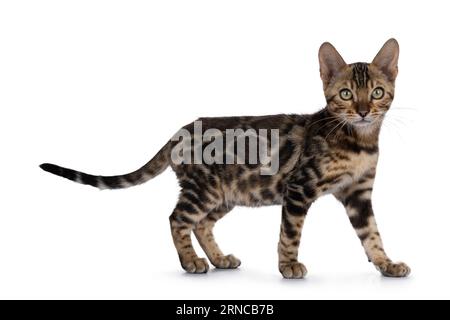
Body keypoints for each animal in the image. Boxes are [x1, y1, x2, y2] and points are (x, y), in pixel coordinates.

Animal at [40, 38, 410, 278]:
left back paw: (219, 259)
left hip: (226, 194)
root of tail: (180, 130)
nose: (362, 111)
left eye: (377, 92)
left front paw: (387, 264)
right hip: (203, 189)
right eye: (345, 94)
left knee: (202, 223)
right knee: (177, 219)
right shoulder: (298, 189)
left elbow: (372, 234)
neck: (359, 141)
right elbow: (290, 234)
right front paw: (288, 265)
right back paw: (191, 263)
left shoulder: (358, 193)